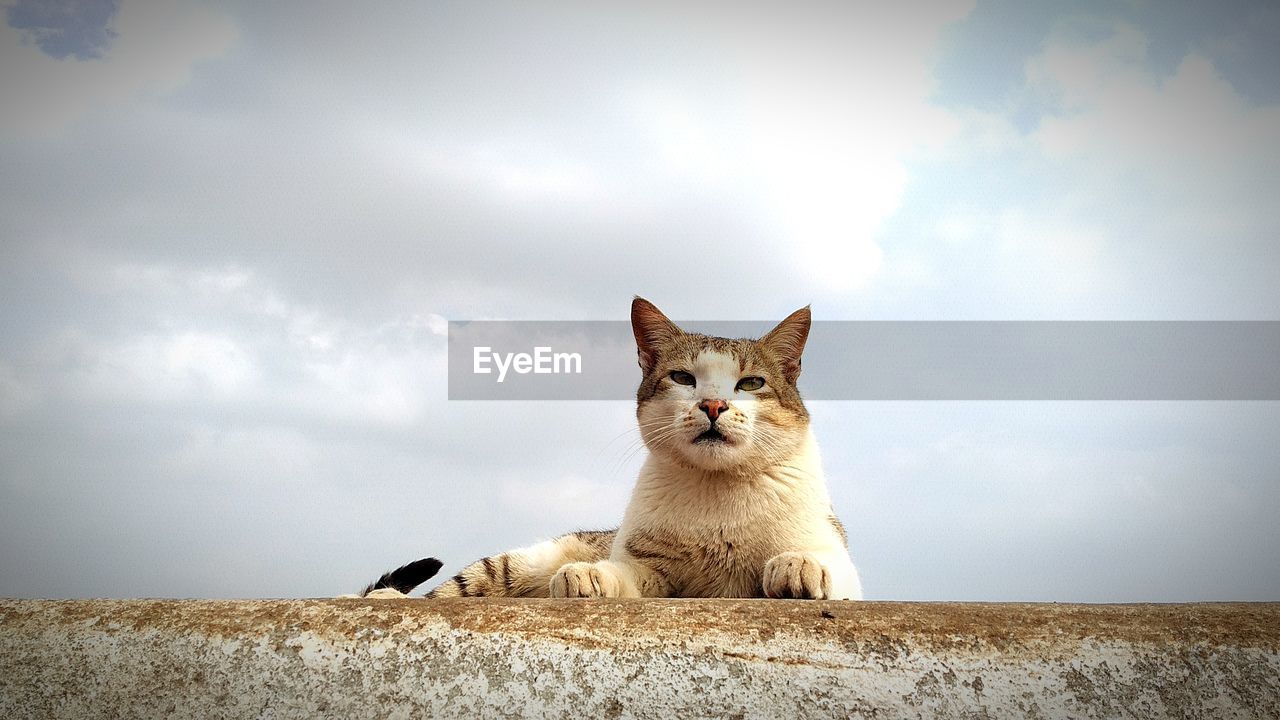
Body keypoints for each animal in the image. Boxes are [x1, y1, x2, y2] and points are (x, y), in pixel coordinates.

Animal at [355, 297, 865, 599]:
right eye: (683, 377)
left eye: (752, 383)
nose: (713, 404)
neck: (715, 492)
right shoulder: (650, 569)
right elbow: (624, 574)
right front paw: (591, 575)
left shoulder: (839, 556)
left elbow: (828, 567)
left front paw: (800, 566)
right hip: (512, 565)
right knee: (443, 594)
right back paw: (386, 599)